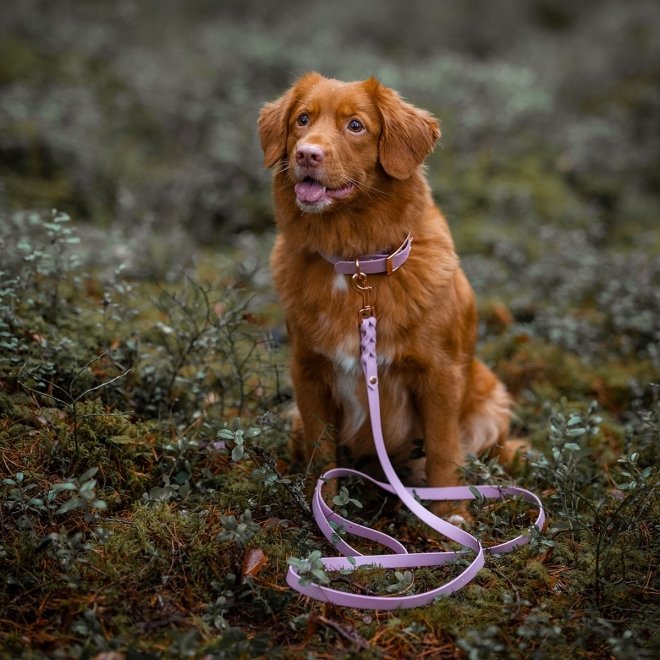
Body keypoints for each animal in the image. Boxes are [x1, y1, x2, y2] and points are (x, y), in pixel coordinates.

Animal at [258, 75, 520, 512]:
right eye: (302, 119)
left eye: (356, 126)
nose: (306, 154)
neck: (356, 264)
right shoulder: (308, 371)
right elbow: (320, 450)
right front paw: (323, 508)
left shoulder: (439, 376)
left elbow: (444, 450)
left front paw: (450, 516)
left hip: (490, 407)